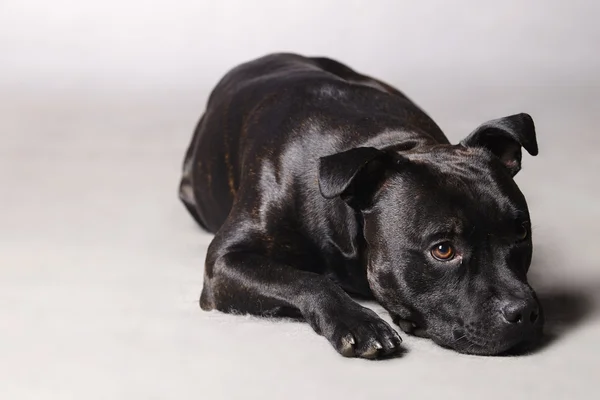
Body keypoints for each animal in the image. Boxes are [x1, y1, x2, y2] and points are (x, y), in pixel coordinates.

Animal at [179, 53, 544, 360]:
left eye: (521, 233)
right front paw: (359, 322)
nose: (524, 312)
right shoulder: (224, 262)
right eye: (443, 250)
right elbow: (306, 280)